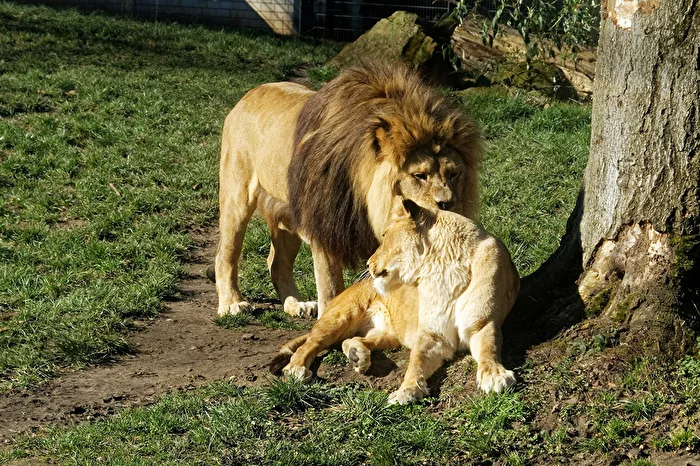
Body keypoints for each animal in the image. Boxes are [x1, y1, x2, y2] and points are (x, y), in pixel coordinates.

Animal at [214, 63, 480, 318]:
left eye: (454, 174)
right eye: (419, 176)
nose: (448, 203)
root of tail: (250, 94)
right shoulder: (326, 229)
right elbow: (332, 288)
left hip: (288, 212)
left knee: (276, 263)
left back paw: (296, 304)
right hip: (237, 197)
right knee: (225, 255)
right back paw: (232, 303)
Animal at [272, 197, 520, 404]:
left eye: (384, 236)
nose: (368, 263)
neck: (441, 271)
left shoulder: (483, 324)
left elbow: (488, 349)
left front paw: (494, 375)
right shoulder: (431, 334)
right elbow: (415, 362)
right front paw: (406, 390)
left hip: (388, 334)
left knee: (353, 339)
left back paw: (357, 355)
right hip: (339, 317)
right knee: (309, 344)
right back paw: (296, 369)